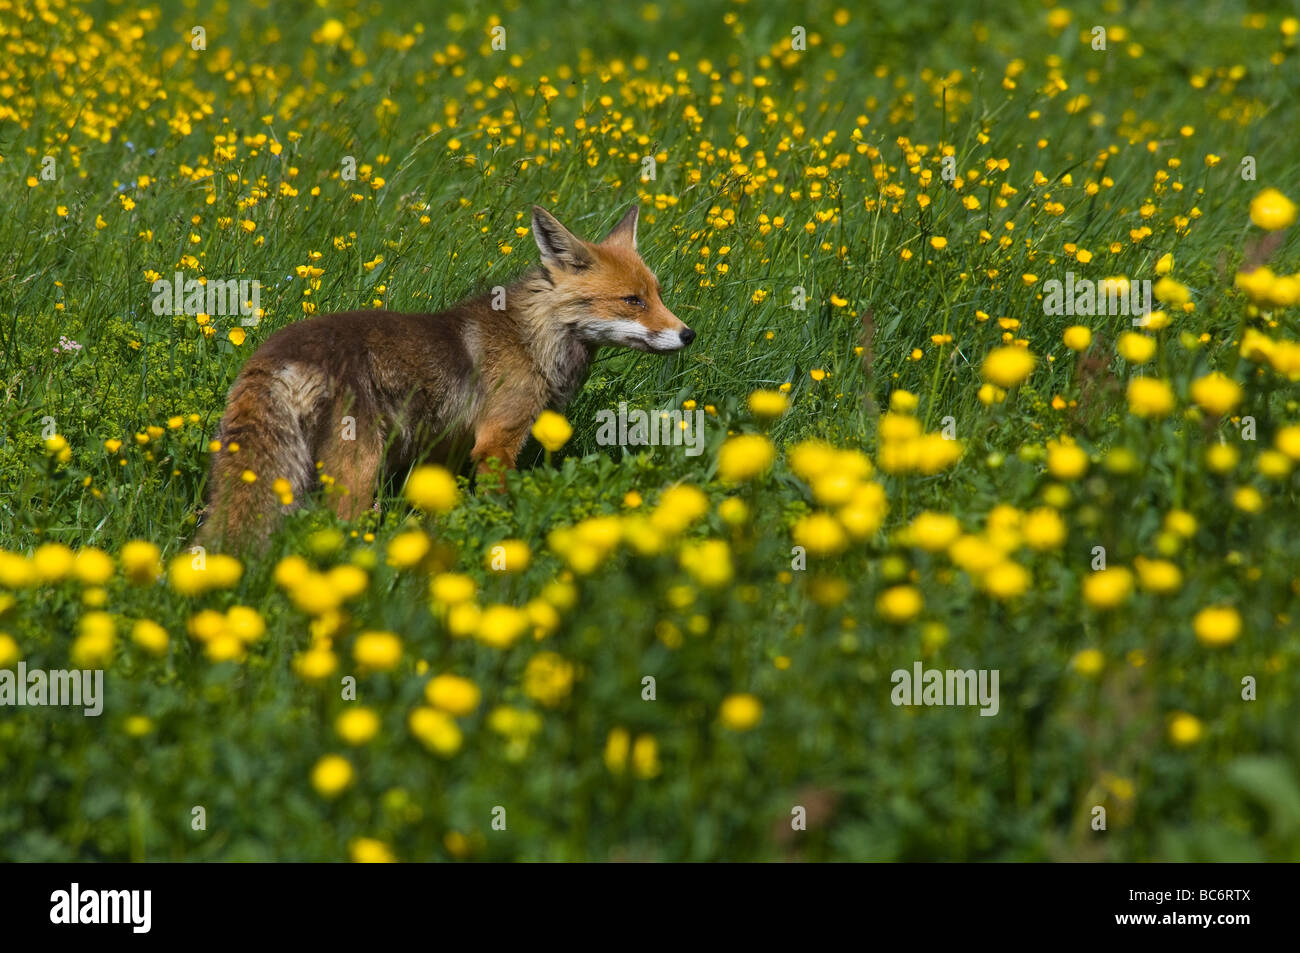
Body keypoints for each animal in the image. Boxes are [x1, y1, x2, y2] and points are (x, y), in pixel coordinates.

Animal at [193, 208, 696, 551]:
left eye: (657, 294)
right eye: (632, 301)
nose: (688, 334)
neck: (531, 338)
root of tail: (277, 354)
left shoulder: (446, 451)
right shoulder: (496, 443)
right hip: (358, 471)